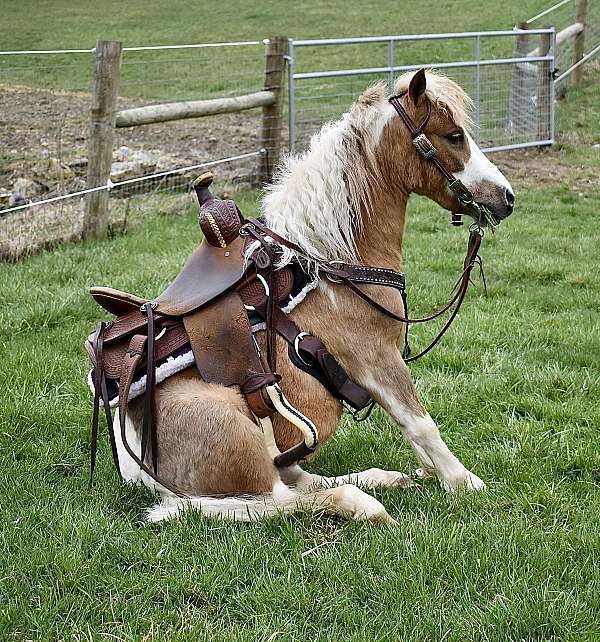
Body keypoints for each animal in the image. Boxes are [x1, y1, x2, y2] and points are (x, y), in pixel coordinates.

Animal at [113, 69, 514, 523]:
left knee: (299, 479)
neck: (332, 261)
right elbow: (419, 423)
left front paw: (430, 473)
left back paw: (381, 478)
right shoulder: (377, 359)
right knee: (281, 500)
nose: (507, 198)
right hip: (244, 443)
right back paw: (365, 503)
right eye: (453, 136)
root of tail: (133, 461)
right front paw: (464, 482)